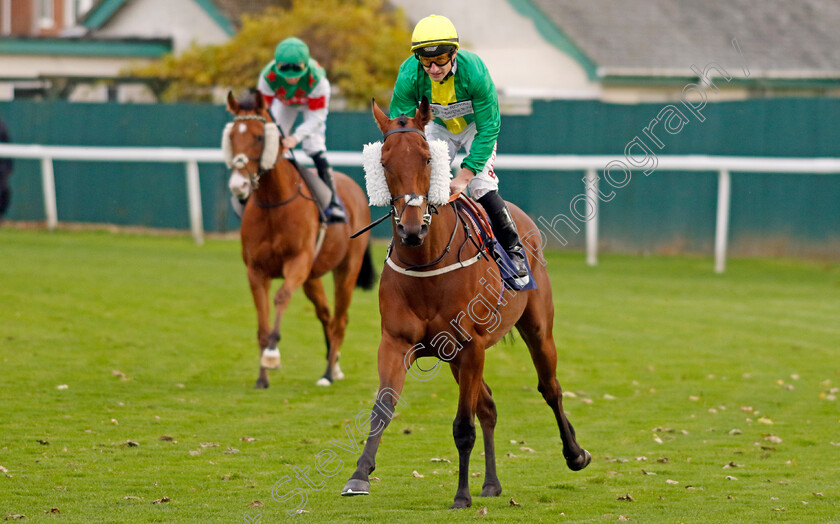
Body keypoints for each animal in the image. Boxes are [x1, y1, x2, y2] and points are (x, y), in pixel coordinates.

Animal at [223, 92, 374, 388]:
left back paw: (328, 373)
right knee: (326, 314)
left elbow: (281, 298)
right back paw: (334, 365)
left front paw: (272, 354)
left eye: (259, 136)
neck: (274, 202)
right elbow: (262, 325)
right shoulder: (256, 271)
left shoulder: (297, 262)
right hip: (312, 276)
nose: (238, 185)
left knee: (340, 319)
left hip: (346, 269)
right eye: (232, 135)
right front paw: (262, 377)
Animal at [342, 97, 592, 508]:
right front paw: (359, 475)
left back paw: (574, 453)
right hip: (453, 359)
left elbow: (463, 425)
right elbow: (382, 408)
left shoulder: (472, 347)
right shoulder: (396, 343)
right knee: (488, 405)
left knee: (550, 388)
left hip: (537, 329)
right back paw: (491, 483)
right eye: (384, 162)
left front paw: (461, 494)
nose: (412, 229)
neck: (426, 262)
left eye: (428, 158)